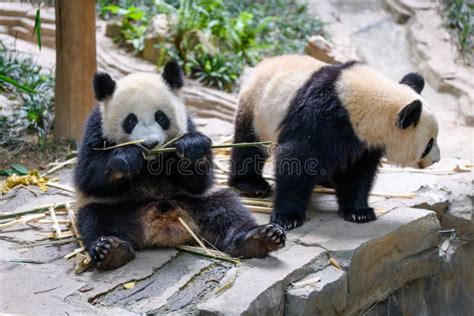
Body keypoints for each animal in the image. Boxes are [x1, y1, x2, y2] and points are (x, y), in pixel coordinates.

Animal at [75, 61, 286, 270]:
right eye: (130, 120)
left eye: (161, 117)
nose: (150, 144)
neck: (151, 162)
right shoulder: (96, 129)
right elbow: (89, 175)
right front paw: (127, 158)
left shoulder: (187, 125)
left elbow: (198, 180)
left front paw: (192, 149)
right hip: (118, 207)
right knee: (97, 220)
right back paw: (111, 249)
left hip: (197, 201)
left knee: (228, 210)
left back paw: (260, 238)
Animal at [230, 54, 440, 230]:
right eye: (429, 143)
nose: (436, 159)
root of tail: (265, 63)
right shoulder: (320, 118)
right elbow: (297, 160)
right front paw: (288, 217)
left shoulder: (362, 140)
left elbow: (358, 173)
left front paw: (359, 212)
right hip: (257, 109)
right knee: (248, 146)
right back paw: (251, 184)